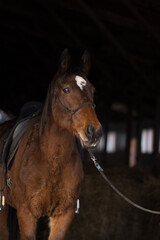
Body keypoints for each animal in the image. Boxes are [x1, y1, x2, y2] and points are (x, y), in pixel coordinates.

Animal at [0, 49, 102, 240]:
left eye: (92, 90)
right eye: (66, 89)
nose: (94, 132)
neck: (53, 159)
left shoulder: (63, 215)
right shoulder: (26, 213)